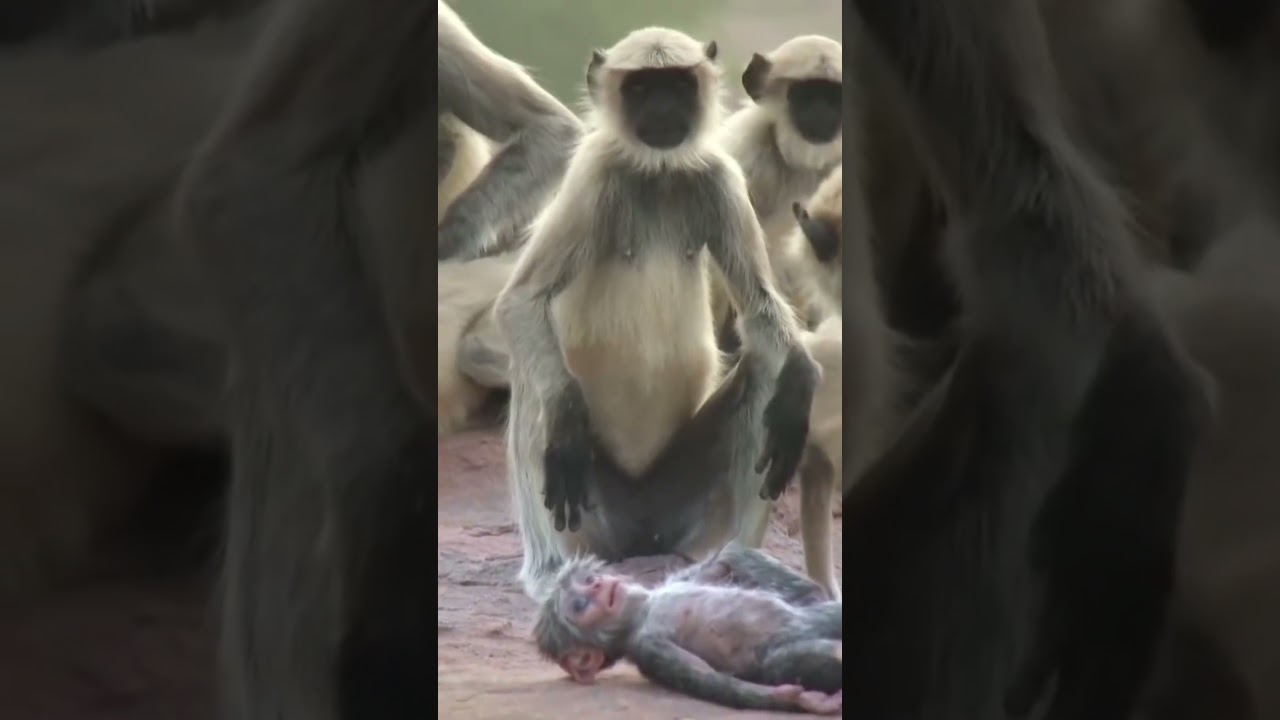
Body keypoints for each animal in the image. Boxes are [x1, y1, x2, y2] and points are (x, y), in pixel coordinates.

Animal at [495, 26, 819, 600]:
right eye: (642, 87)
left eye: (677, 84)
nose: (665, 107)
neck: (658, 174)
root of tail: (639, 537)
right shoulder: (592, 173)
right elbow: (522, 303)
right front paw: (566, 415)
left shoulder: (720, 177)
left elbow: (760, 309)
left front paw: (803, 373)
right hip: (594, 519)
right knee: (540, 387)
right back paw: (551, 570)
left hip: (680, 513)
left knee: (766, 370)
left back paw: (742, 562)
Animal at [532, 552, 843, 715]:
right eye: (579, 605)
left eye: (590, 580)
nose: (597, 586)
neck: (643, 610)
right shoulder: (651, 646)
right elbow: (704, 676)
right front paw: (793, 699)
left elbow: (719, 565)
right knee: (790, 659)